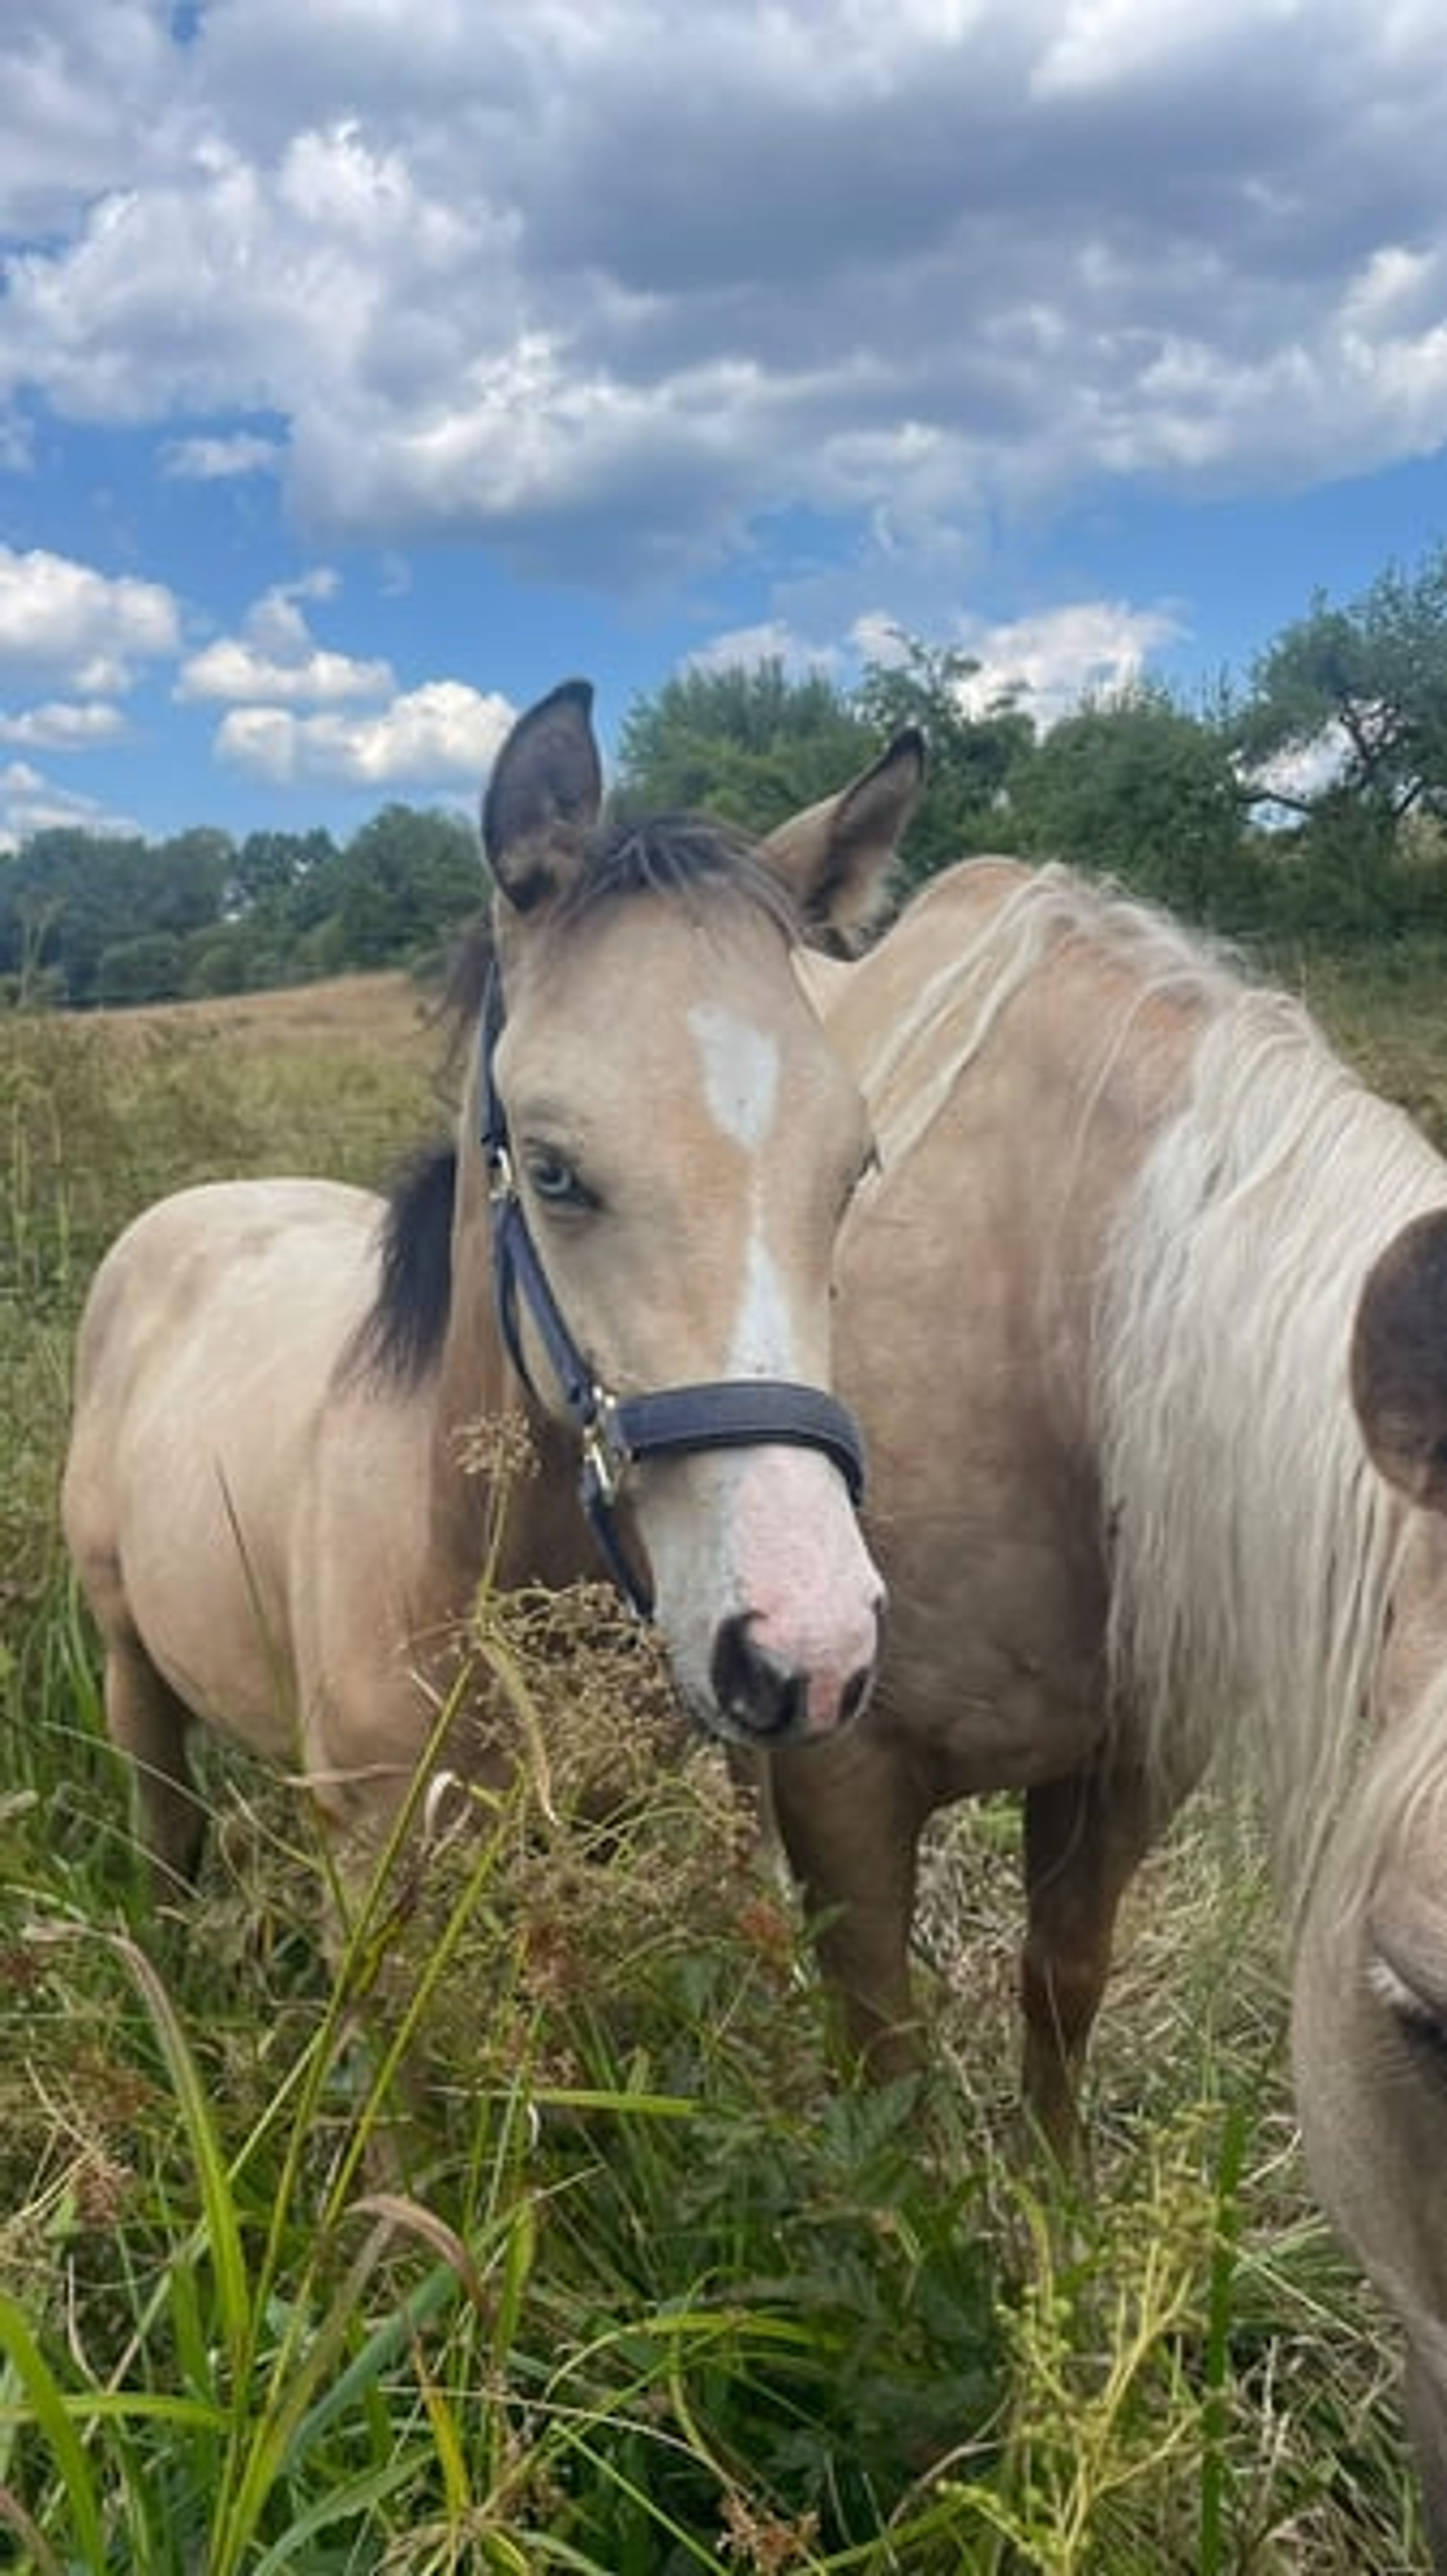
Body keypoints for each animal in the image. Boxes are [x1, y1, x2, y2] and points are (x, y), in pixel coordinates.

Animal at [60, 679, 924, 1903]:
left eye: (852, 1165)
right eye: (553, 1170)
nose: (807, 1651)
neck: (451, 1554)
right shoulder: (374, 1866)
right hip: (130, 1660)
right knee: (164, 1831)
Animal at [768, 852, 1447, 2560]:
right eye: (1414, 2003)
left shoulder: (1133, 1759)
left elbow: (1059, 1984)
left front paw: (1058, 2227)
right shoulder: (839, 1780)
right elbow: (882, 2047)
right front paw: (908, 2279)